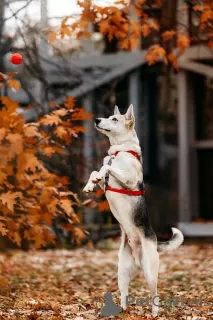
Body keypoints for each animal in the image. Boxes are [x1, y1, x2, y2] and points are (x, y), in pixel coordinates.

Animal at [83, 105, 183, 318]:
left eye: (114, 119)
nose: (96, 120)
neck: (120, 151)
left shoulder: (128, 180)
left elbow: (106, 168)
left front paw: (100, 175)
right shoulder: (106, 182)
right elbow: (97, 171)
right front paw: (90, 184)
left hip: (150, 272)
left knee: (155, 294)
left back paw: (154, 313)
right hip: (121, 272)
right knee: (124, 294)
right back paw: (121, 310)